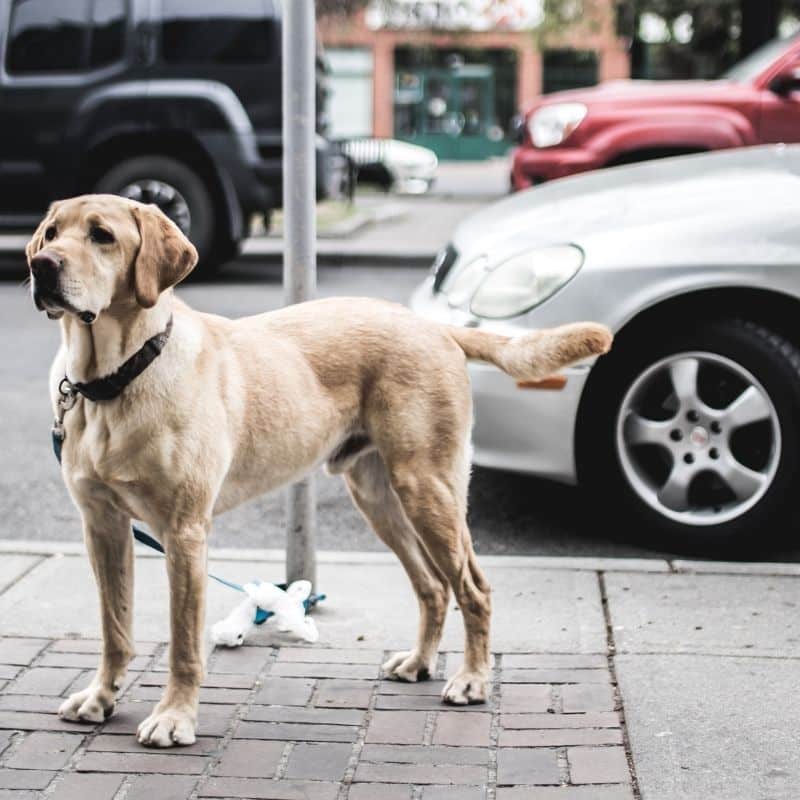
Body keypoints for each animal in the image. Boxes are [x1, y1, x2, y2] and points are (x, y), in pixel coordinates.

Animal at [26, 197, 612, 748]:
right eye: (52, 233)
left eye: (102, 235)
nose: (39, 265)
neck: (113, 381)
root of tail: (432, 325)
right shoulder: (103, 527)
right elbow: (114, 627)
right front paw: (101, 697)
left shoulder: (184, 532)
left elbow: (184, 643)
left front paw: (174, 718)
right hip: (379, 497)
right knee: (431, 586)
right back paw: (420, 662)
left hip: (429, 489)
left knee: (473, 587)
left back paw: (472, 679)